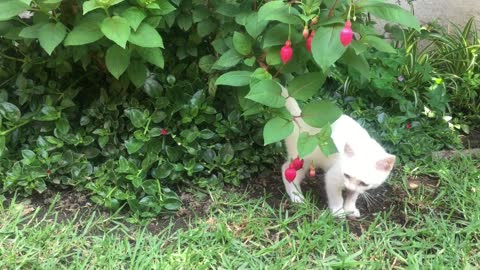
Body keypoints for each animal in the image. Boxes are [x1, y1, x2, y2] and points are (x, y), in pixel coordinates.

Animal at [282, 87, 394, 218]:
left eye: (364, 183)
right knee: (286, 170)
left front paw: (350, 209)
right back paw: (296, 196)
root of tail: (300, 118)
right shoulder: (333, 176)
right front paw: (338, 211)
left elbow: (353, 195)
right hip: (303, 158)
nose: (348, 187)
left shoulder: (357, 188)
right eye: (346, 175)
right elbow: (337, 197)